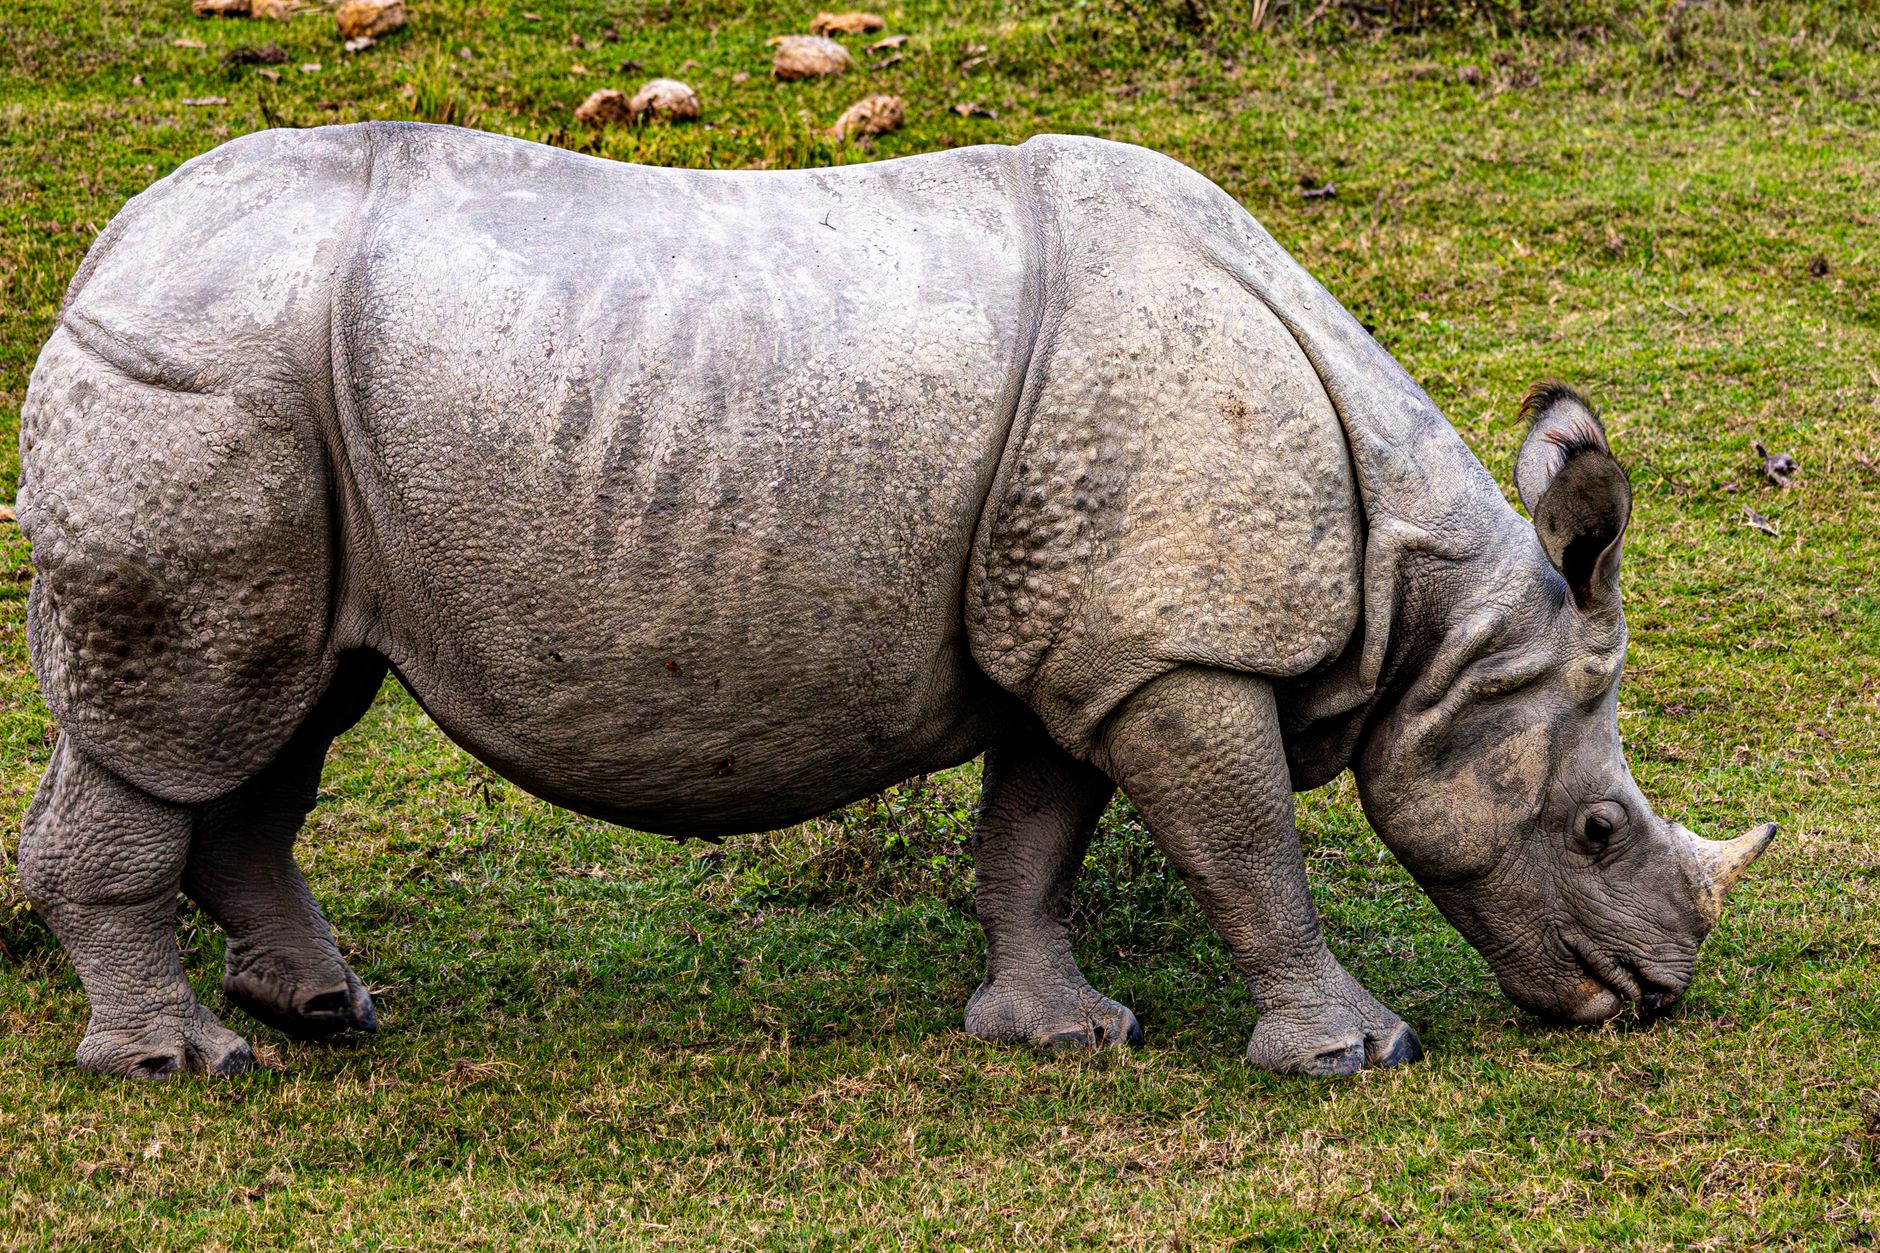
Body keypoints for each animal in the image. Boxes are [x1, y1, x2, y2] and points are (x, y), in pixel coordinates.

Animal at [16, 123, 1776, 1080]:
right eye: (1599, 829)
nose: (1654, 1001)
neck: (1426, 602)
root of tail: (106, 249)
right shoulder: (1175, 652)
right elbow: (1249, 845)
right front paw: (1356, 1050)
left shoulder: (1091, 634)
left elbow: (1037, 835)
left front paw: (1060, 1034)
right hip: (207, 371)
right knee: (187, 716)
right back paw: (188, 1061)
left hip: (278, 401)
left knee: (280, 714)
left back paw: (324, 1011)